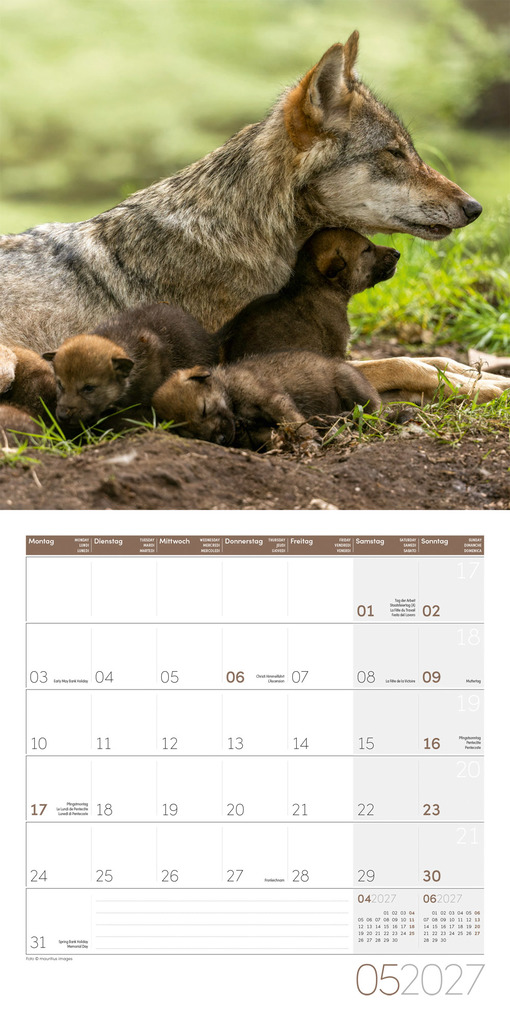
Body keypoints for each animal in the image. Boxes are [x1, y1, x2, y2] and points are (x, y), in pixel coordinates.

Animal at [0, 30, 482, 366]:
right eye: (393, 153)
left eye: (410, 150)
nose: (475, 208)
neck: (248, 235)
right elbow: (404, 363)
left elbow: (430, 360)